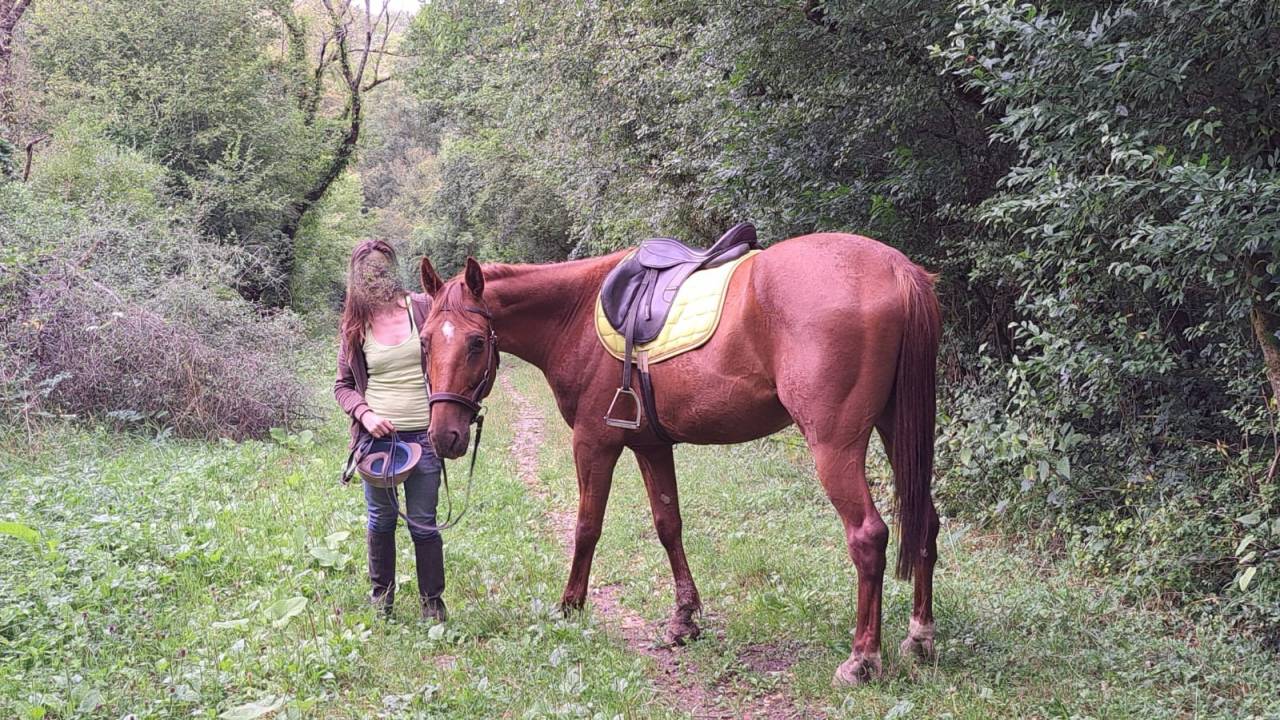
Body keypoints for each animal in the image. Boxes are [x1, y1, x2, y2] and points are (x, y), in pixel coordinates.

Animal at [417, 232, 941, 685]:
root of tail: (895, 268)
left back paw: (862, 659)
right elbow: (669, 525)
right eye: (424, 341)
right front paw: (684, 620)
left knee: (868, 535)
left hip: (835, 444)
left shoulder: (594, 443)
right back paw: (919, 639)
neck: (575, 315)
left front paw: (570, 606)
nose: (444, 436)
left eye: (476, 342)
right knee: (926, 525)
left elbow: (587, 527)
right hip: (896, 430)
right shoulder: (652, 446)